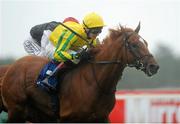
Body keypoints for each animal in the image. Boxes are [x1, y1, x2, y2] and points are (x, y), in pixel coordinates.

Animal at [1, 23, 159, 122]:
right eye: (134, 45)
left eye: (145, 43)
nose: (154, 66)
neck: (96, 83)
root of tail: (10, 68)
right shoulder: (69, 118)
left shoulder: (101, 117)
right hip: (16, 110)